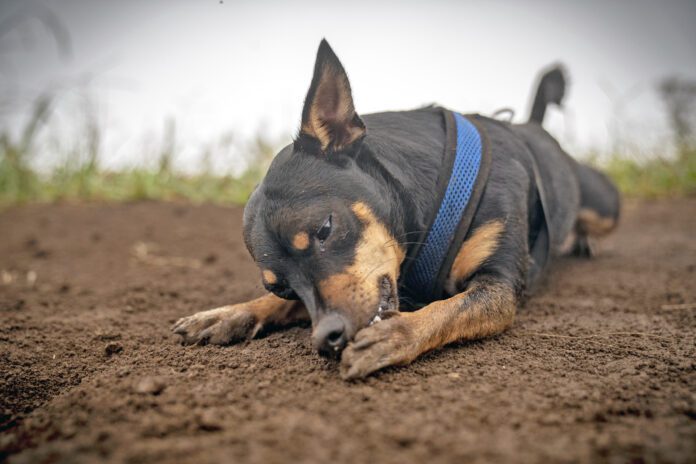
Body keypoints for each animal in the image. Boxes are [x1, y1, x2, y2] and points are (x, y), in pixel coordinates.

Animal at [173, 40, 620, 378]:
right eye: (279, 286)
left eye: (325, 229)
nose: (325, 337)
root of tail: (531, 126)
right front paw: (231, 312)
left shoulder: (499, 286)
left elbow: (446, 310)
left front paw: (397, 334)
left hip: (604, 205)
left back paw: (583, 241)